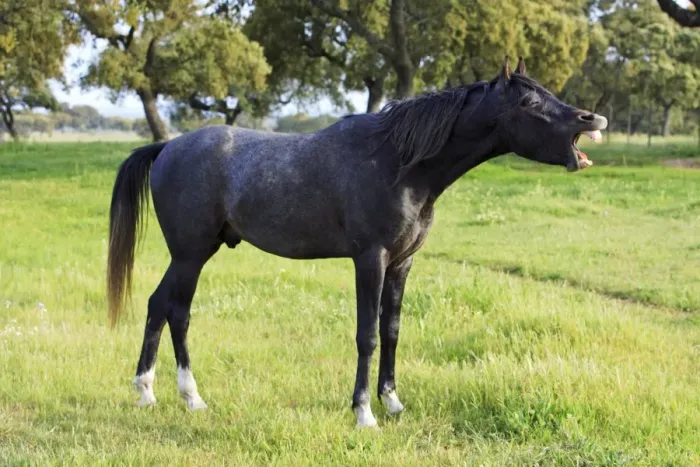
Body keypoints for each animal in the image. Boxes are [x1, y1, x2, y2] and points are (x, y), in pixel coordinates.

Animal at [106, 56, 607, 428]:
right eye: (529, 100)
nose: (592, 117)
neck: (400, 163)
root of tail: (168, 147)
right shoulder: (370, 260)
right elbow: (366, 334)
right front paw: (364, 412)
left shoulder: (402, 263)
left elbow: (391, 331)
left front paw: (393, 403)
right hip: (190, 254)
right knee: (175, 311)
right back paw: (178, 396)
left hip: (193, 254)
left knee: (161, 307)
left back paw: (158, 395)